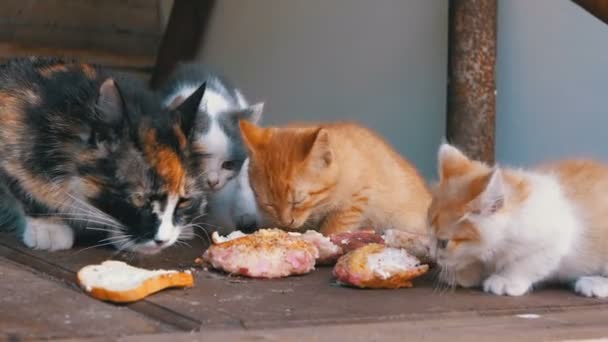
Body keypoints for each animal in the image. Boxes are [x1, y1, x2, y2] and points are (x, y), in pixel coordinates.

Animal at [428, 144, 608, 296]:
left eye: (443, 243)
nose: (431, 255)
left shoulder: (556, 238)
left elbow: (527, 263)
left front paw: (505, 280)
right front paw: (464, 273)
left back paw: (595, 284)